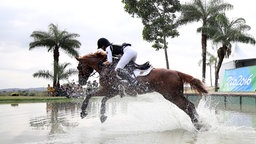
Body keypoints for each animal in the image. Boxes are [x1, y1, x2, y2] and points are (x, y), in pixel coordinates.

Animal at [76, 51, 208, 130]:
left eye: (78, 67)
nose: (81, 82)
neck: (105, 67)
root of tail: (176, 72)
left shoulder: (108, 89)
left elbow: (89, 94)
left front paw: (84, 112)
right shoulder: (113, 91)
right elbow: (102, 99)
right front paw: (101, 116)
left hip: (172, 96)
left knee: (188, 107)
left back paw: (198, 125)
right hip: (174, 95)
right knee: (190, 106)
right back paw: (200, 123)